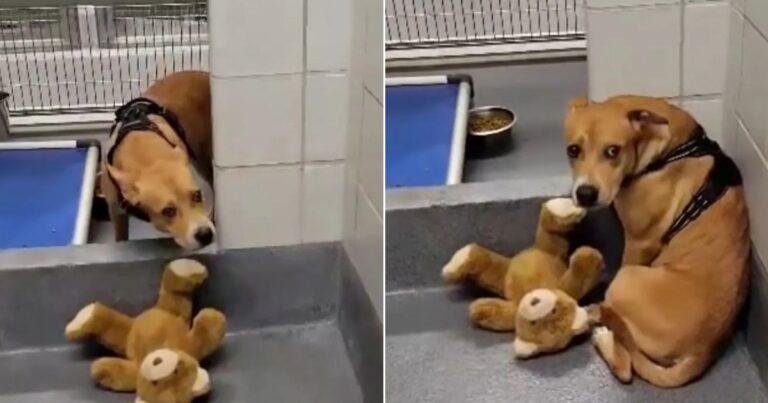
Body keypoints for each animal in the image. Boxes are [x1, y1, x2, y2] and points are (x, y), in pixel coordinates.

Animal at [102, 71, 214, 251]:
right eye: (168, 211)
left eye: (197, 196)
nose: (205, 234)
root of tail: (205, 74)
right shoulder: (116, 212)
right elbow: (120, 237)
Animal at [564, 94, 752, 388]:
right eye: (573, 150)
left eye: (613, 151)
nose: (585, 194)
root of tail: (703, 351)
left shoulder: (639, 243)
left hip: (627, 280)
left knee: (626, 364)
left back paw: (599, 327)